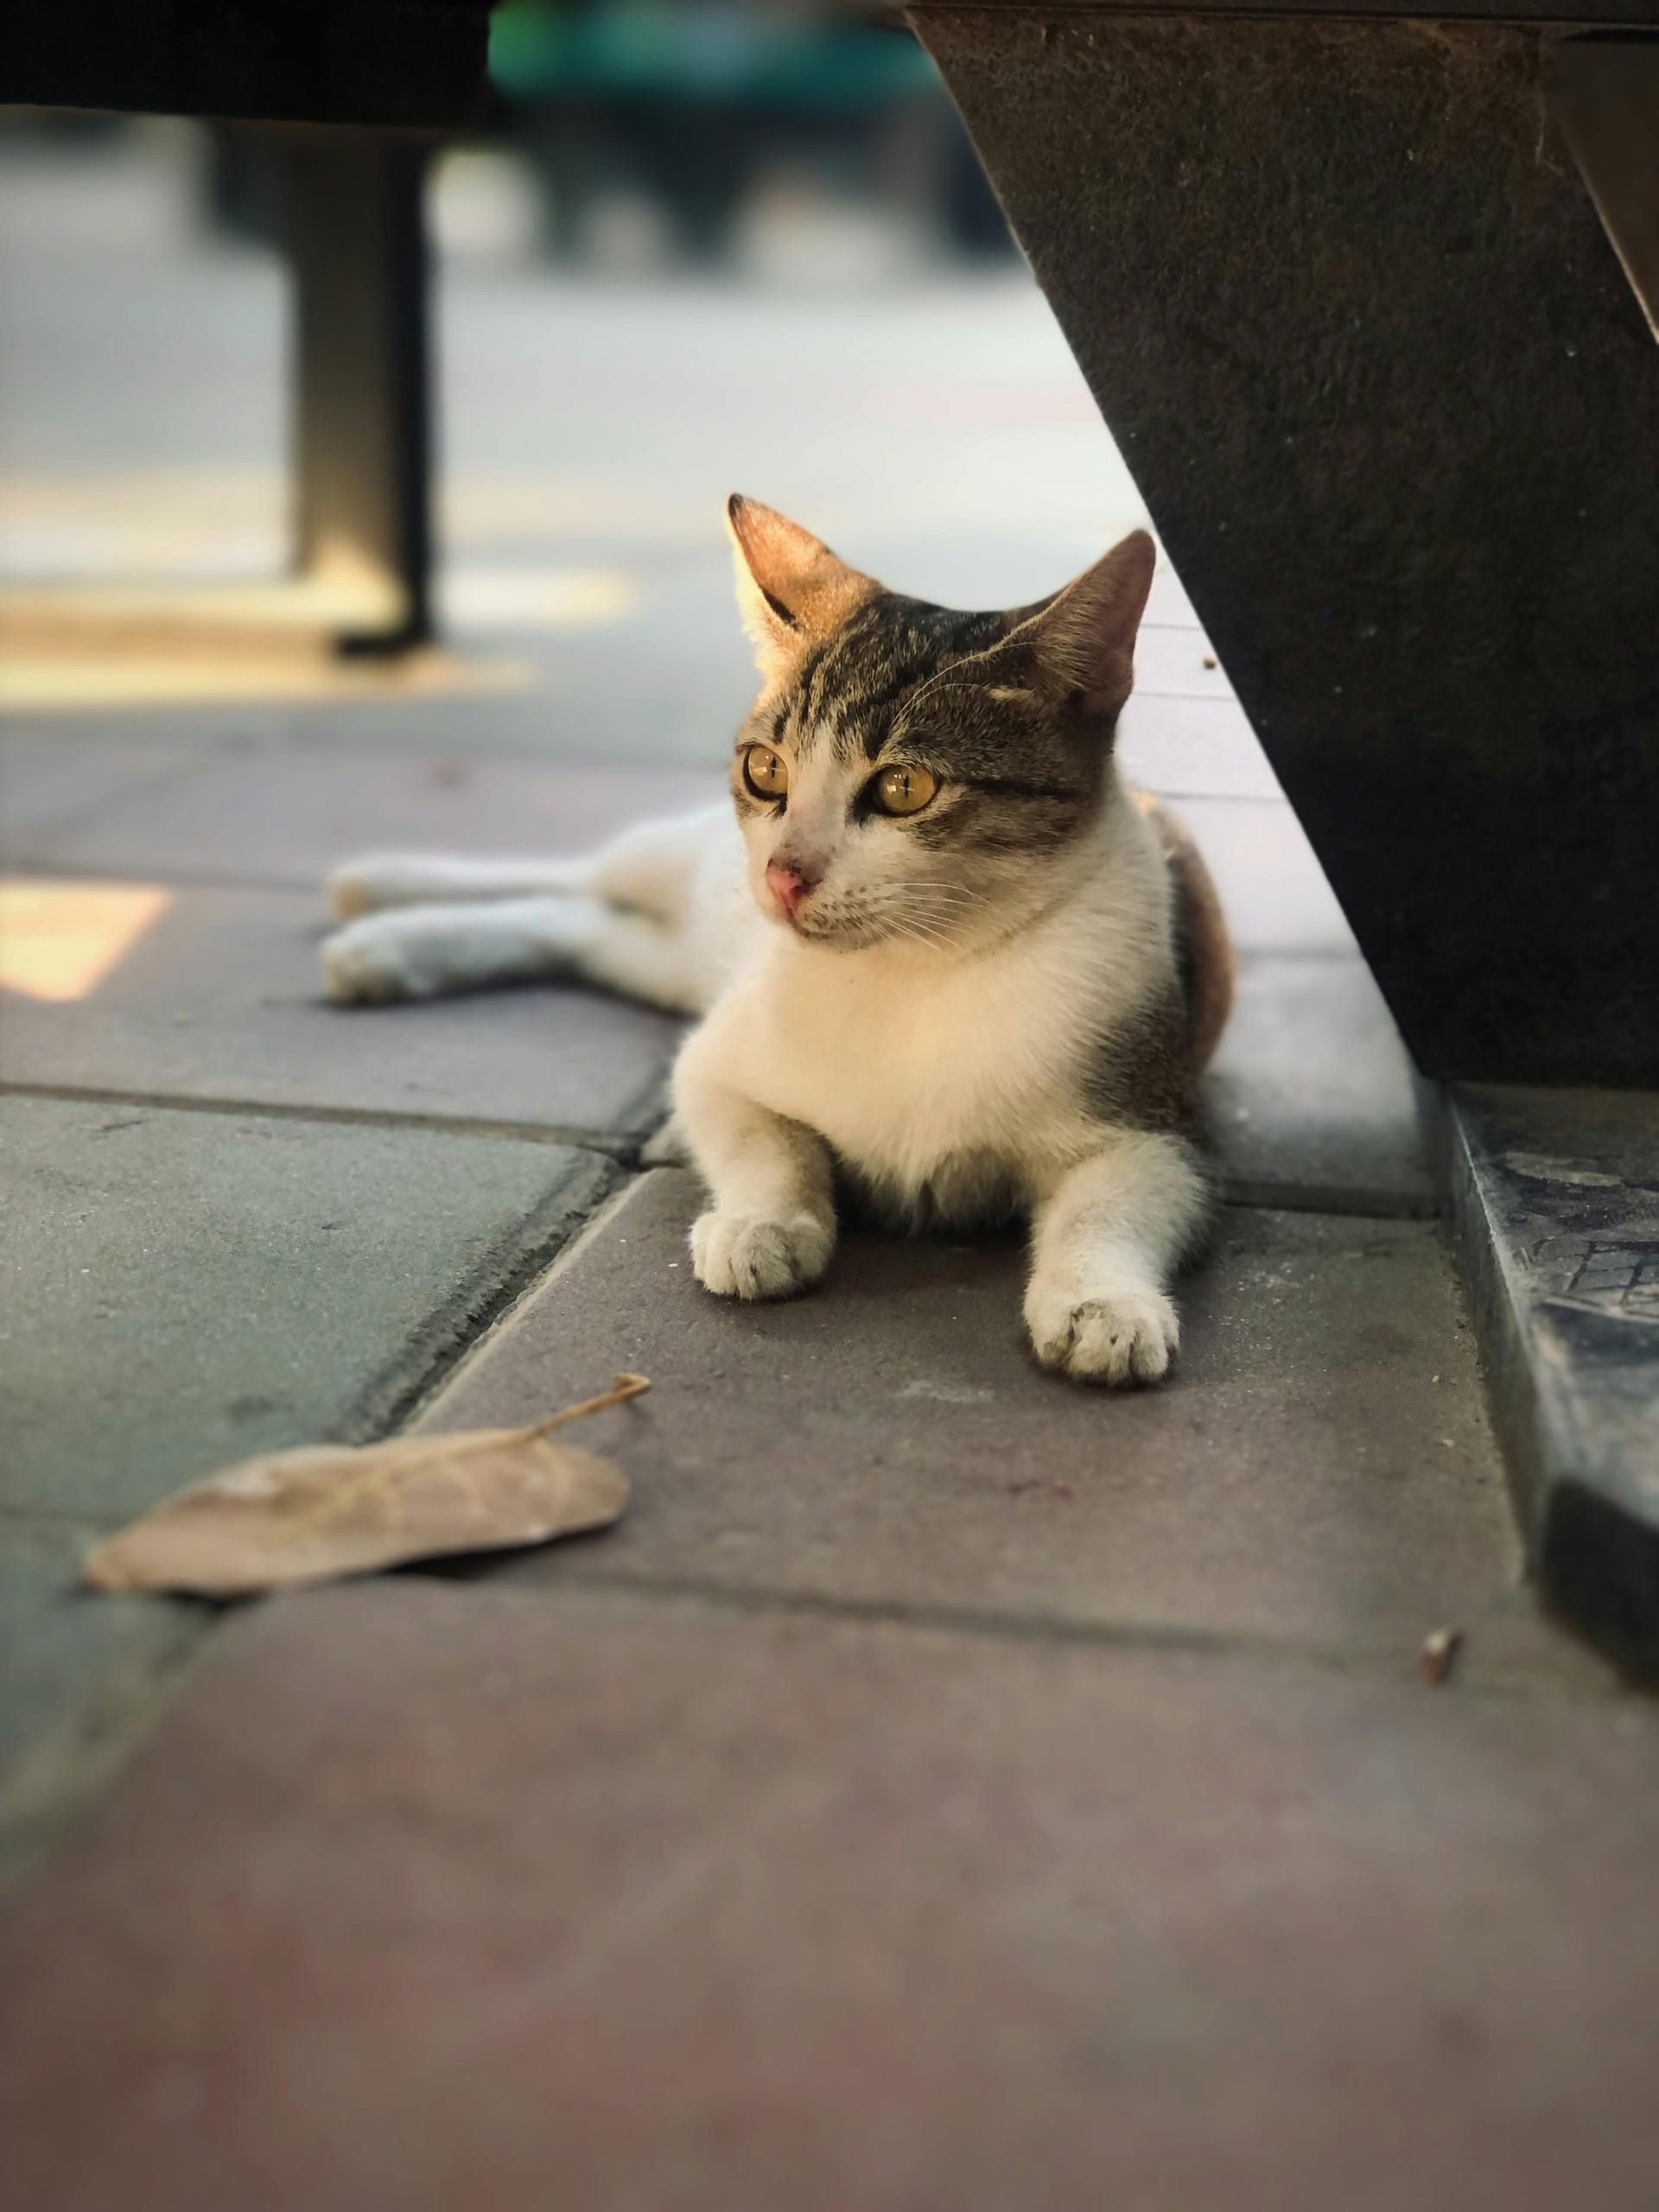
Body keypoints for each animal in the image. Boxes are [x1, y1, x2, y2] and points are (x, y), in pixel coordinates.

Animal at [325, 498, 1238, 1380]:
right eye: (766, 771)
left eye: (905, 787)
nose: (783, 875)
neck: (915, 969)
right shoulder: (714, 1064)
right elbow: (765, 1139)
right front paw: (762, 1225)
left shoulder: (1154, 1121)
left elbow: (1111, 1207)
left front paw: (1102, 1305)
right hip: (678, 876)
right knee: (585, 873)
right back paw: (383, 890)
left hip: (667, 960)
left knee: (578, 926)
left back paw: (387, 945)